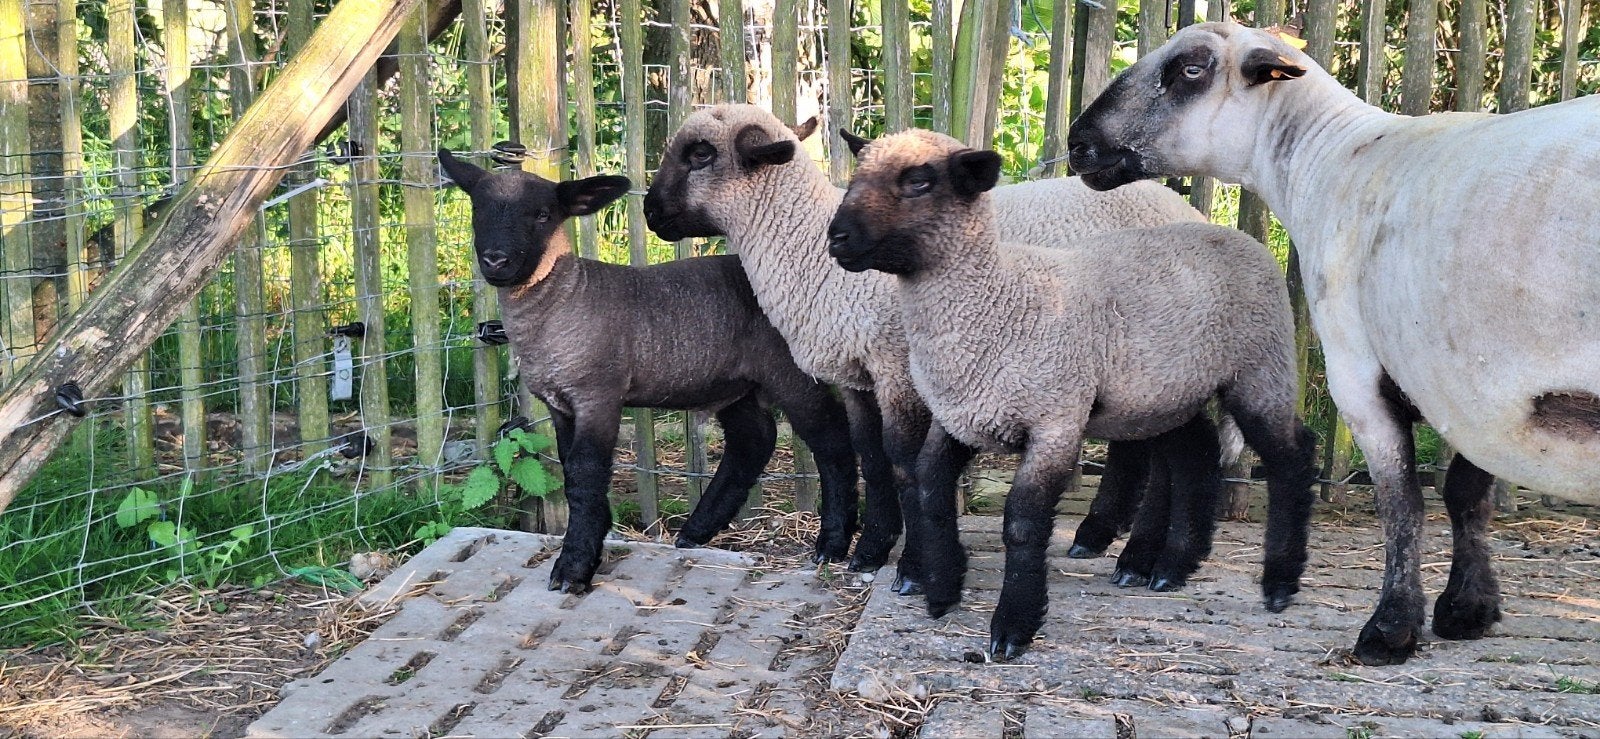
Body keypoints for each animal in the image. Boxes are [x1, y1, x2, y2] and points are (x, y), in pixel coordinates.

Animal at [438, 149, 860, 592]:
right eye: (477, 210)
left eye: (542, 215)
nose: (495, 260)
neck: (562, 297)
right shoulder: (561, 405)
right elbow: (571, 473)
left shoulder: (598, 395)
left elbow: (585, 474)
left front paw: (573, 568)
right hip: (732, 382)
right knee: (754, 439)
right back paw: (696, 530)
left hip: (789, 370)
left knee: (831, 438)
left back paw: (832, 542)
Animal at [641, 104, 1219, 594]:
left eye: (700, 155)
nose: (648, 211)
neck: (809, 255)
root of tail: (1189, 211)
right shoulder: (860, 375)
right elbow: (871, 455)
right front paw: (870, 550)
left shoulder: (898, 367)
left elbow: (904, 460)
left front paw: (913, 567)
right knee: (1141, 442)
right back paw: (1097, 538)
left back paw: (1143, 561)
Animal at [825, 129, 1318, 659]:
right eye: (858, 174)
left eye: (920, 180)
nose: (836, 237)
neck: (1000, 302)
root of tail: (1237, 235)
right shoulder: (960, 418)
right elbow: (930, 490)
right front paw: (941, 591)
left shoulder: (1055, 422)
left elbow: (1022, 523)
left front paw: (1012, 627)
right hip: (1166, 393)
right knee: (1196, 455)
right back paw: (1170, 568)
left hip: (1261, 367)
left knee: (1291, 456)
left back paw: (1278, 585)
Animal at [1065, 21, 1600, 665]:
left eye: (1191, 68)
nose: (1077, 144)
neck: (1334, 160)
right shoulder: (1467, 385)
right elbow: (1465, 494)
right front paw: (1466, 609)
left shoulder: (1361, 373)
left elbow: (1402, 504)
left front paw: (1390, 629)